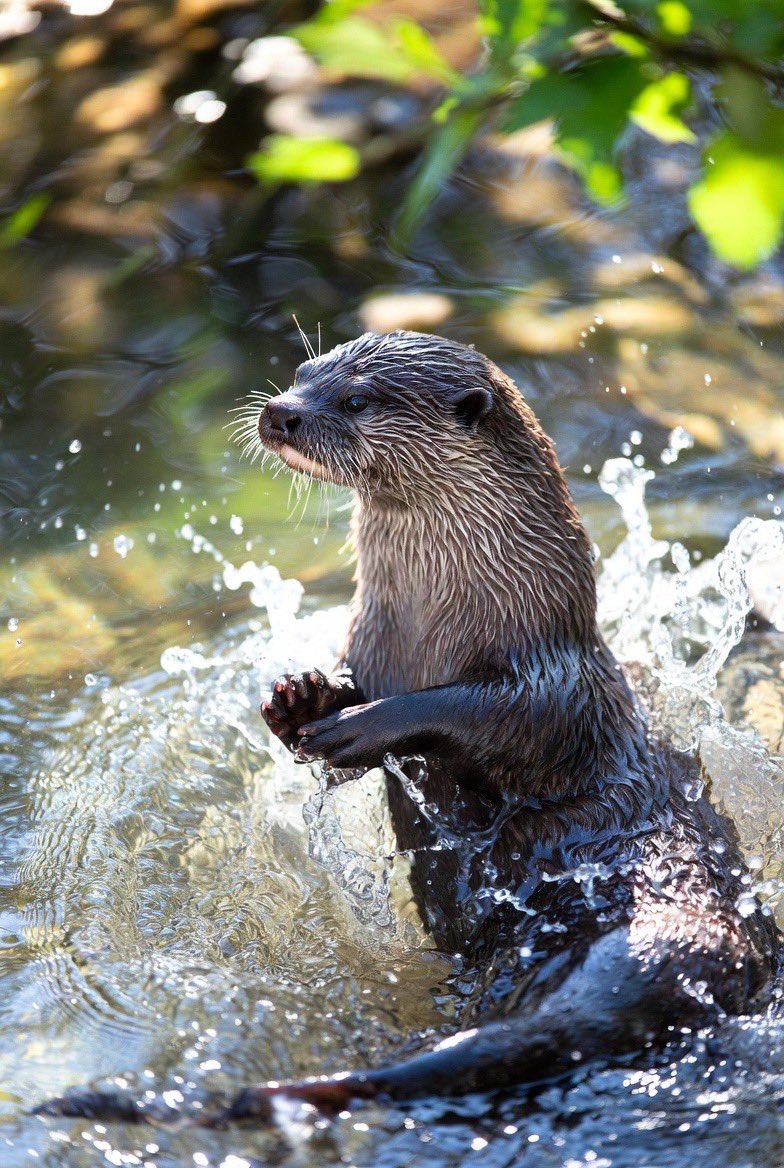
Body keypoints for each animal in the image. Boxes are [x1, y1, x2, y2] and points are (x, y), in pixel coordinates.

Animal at [37, 330, 781, 1125]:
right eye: (303, 371)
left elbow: (483, 716)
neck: (437, 632)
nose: (279, 411)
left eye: (358, 399)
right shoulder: (371, 645)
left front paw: (361, 726)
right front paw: (300, 698)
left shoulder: (555, 684)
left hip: (640, 946)